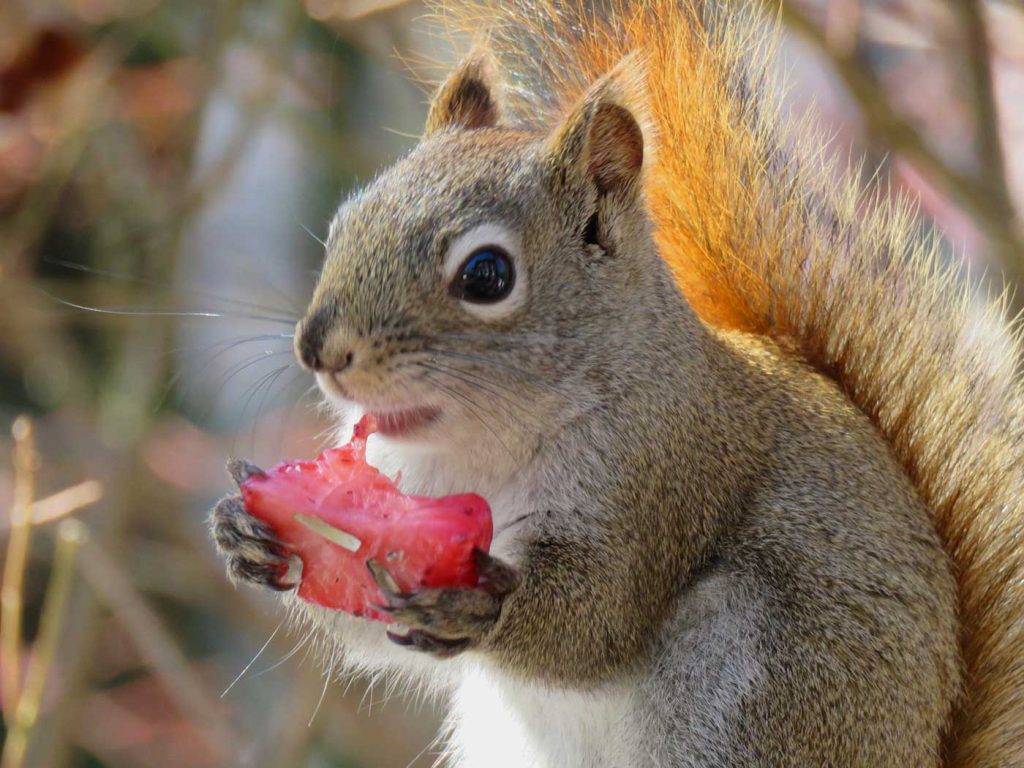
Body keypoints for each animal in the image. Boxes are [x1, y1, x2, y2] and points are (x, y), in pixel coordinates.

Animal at [209, 3, 1024, 765]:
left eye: (486, 275)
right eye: (344, 224)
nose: (318, 350)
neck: (480, 449)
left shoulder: (659, 479)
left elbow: (597, 621)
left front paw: (478, 608)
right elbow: (357, 602)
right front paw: (247, 531)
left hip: (746, 686)